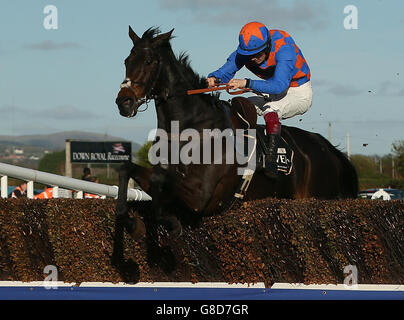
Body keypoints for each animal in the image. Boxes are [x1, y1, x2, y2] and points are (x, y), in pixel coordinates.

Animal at [113, 27, 356, 245]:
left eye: (148, 61)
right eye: (126, 61)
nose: (123, 102)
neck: (191, 128)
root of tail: (328, 148)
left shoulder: (200, 196)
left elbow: (159, 182)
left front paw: (169, 224)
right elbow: (129, 170)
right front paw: (133, 223)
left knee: (272, 111)